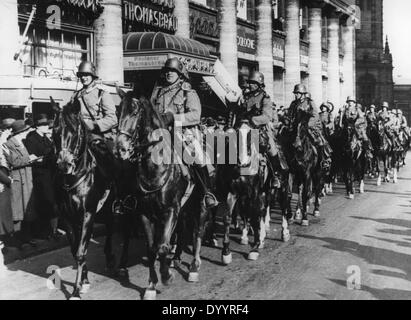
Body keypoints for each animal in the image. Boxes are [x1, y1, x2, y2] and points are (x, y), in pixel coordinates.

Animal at [51, 98, 116, 300]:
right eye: (55, 131)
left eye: (74, 131)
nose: (63, 164)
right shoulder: (68, 218)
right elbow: (76, 250)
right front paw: (84, 281)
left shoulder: (88, 213)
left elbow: (80, 252)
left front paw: (76, 291)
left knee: (112, 229)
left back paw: (112, 260)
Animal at [113, 89, 209, 298]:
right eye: (117, 112)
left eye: (134, 112)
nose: (120, 148)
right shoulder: (144, 213)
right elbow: (151, 249)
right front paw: (151, 285)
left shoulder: (170, 210)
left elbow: (163, 247)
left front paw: (167, 277)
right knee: (182, 230)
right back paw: (177, 258)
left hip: (199, 204)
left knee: (197, 231)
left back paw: (194, 266)